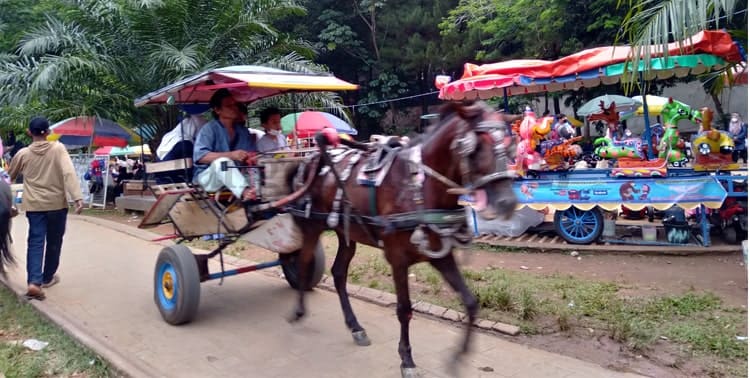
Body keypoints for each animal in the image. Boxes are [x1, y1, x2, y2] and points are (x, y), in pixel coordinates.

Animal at [286, 101, 516, 378]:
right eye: (476, 146)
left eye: (510, 146)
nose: (506, 203)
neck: (419, 187)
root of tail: (308, 161)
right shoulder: (397, 259)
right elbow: (404, 309)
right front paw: (407, 359)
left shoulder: (440, 255)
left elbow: (470, 303)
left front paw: (457, 357)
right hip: (311, 226)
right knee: (303, 261)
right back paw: (299, 310)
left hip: (346, 232)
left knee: (339, 273)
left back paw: (355, 327)